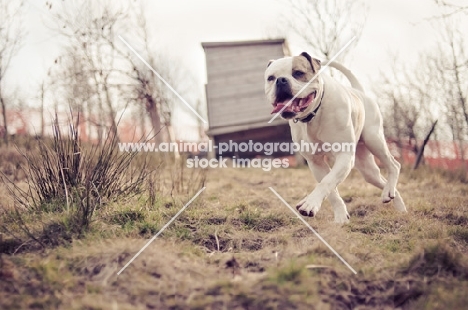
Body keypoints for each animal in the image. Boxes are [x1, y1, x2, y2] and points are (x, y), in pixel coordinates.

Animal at [266, 53, 408, 223]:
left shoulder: (344, 156)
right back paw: (397, 203)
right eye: (270, 78)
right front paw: (340, 216)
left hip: (374, 140)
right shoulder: (316, 163)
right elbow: (331, 188)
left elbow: (327, 181)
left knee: (394, 165)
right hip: (368, 171)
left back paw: (392, 193)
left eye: (298, 73)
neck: (313, 115)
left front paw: (310, 203)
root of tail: (359, 92)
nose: (281, 80)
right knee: (380, 179)